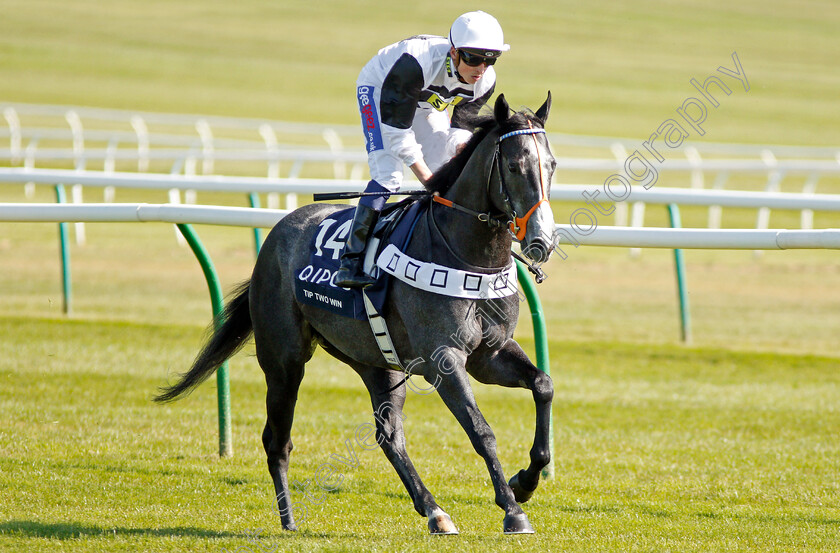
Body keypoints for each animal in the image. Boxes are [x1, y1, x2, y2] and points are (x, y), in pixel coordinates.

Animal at [158, 92, 556, 532]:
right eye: (514, 166)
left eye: (552, 164)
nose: (542, 239)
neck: (468, 258)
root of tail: (279, 232)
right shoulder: (445, 359)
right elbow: (481, 430)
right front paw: (513, 510)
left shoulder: (490, 354)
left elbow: (543, 385)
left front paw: (526, 482)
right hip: (283, 360)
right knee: (277, 439)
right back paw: (289, 519)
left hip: (379, 364)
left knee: (389, 436)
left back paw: (434, 511)